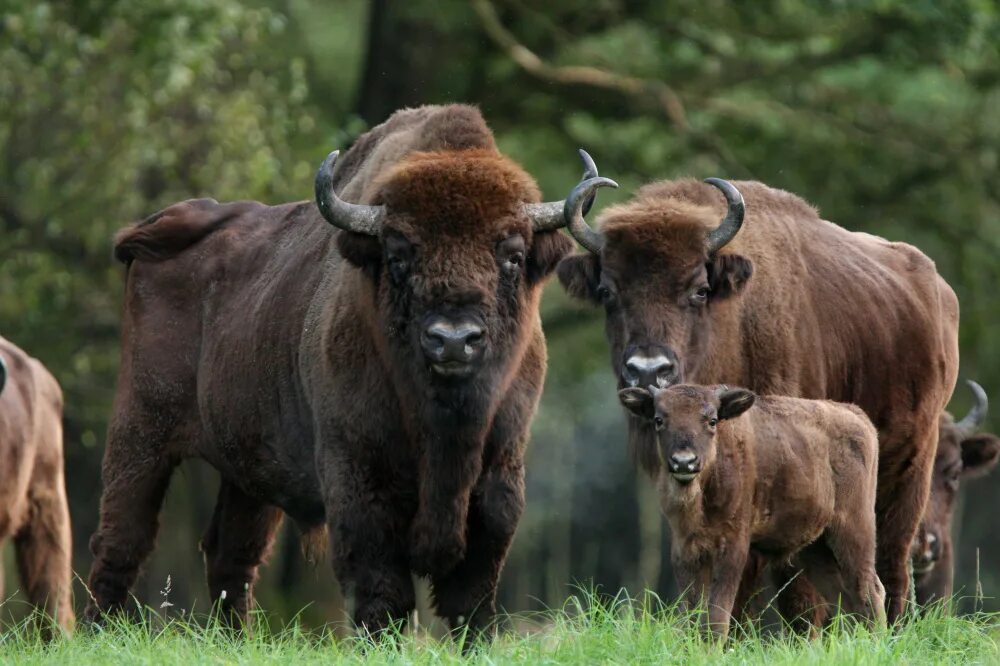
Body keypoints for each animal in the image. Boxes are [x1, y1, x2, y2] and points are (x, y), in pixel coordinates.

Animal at [84, 104, 608, 632]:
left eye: (513, 255)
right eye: (398, 255)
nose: (453, 340)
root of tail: (153, 232)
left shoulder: (498, 477)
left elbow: (471, 592)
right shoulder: (358, 474)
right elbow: (381, 586)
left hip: (247, 471)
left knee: (231, 554)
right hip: (141, 433)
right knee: (121, 540)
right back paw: (97, 629)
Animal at [620, 384, 888, 640]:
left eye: (712, 421)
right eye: (658, 419)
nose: (684, 462)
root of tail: (857, 416)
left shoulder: (733, 547)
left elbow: (717, 615)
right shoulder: (685, 549)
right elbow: (693, 611)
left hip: (854, 530)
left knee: (869, 589)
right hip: (816, 548)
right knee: (844, 594)